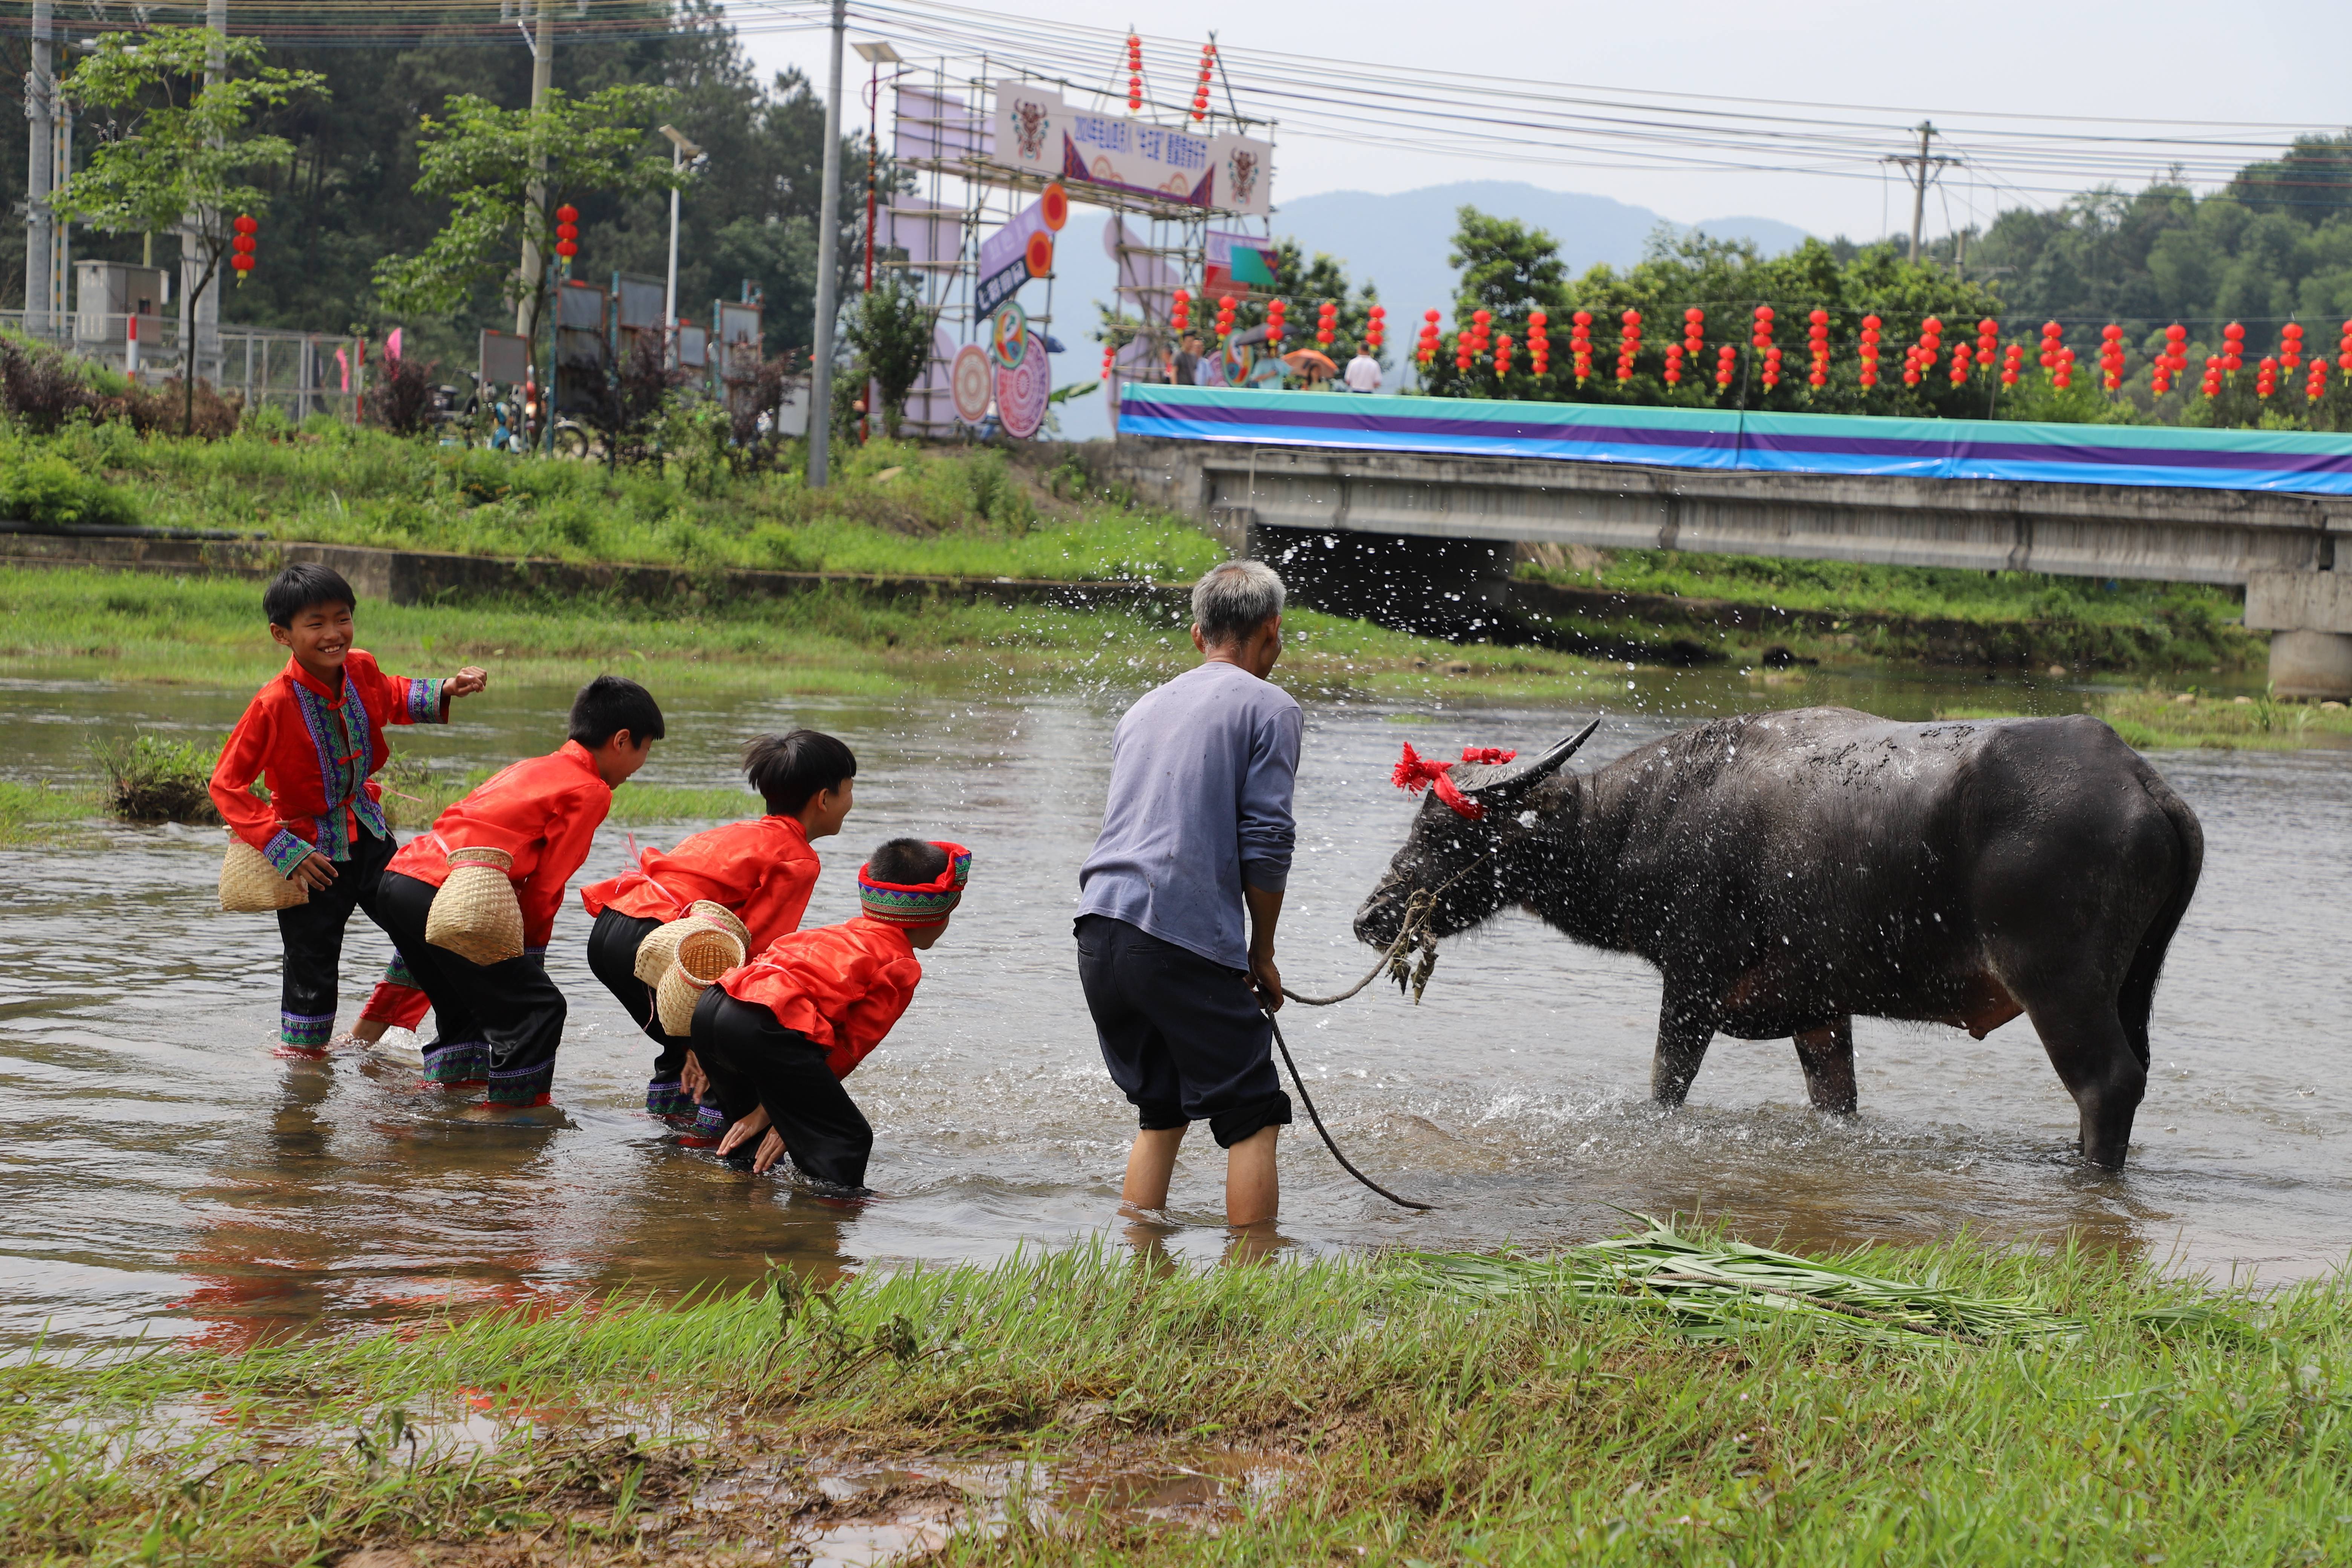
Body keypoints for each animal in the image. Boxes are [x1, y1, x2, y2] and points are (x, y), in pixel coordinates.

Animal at [1364, 710, 2201, 1166]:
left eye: (1443, 831)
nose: (1370, 916)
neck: (1639, 825)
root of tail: (2143, 785)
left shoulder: (1692, 982)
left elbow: (1666, 1086)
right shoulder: (1819, 1009)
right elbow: (1836, 1101)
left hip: (2059, 982)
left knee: (2106, 1082)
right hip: (2136, 985)